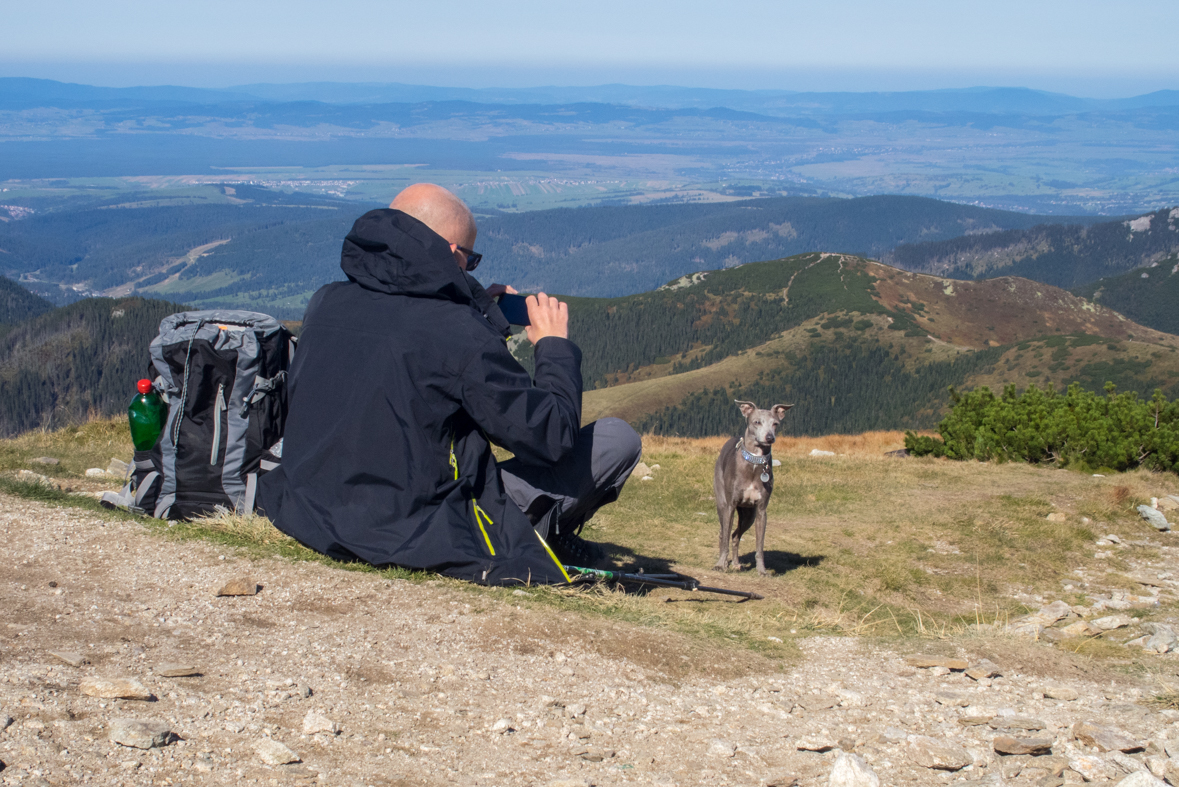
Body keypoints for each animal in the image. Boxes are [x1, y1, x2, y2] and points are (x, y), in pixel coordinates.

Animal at [707, 400, 792, 572]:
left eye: (775, 424)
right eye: (757, 422)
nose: (769, 438)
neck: (754, 463)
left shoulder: (761, 510)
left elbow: (760, 546)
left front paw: (762, 570)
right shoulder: (730, 506)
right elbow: (725, 539)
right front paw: (720, 564)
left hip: (748, 515)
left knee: (735, 536)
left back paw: (736, 563)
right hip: (722, 503)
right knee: (723, 534)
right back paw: (723, 562)